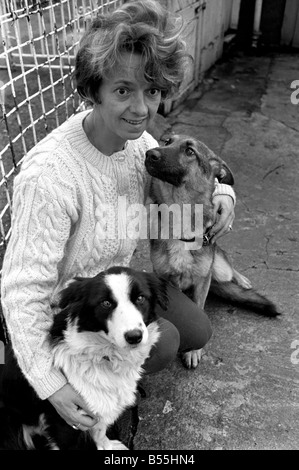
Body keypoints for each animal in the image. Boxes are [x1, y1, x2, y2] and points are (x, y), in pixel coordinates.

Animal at [145, 134, 282, 370]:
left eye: (190, 151)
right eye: (167, 141)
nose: (149, 154)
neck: (179, 212)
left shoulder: (202, 280)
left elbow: (199, 308)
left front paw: (194, 351)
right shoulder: (167, 279)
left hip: (218, 268)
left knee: (228, 267)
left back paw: (242, 279)